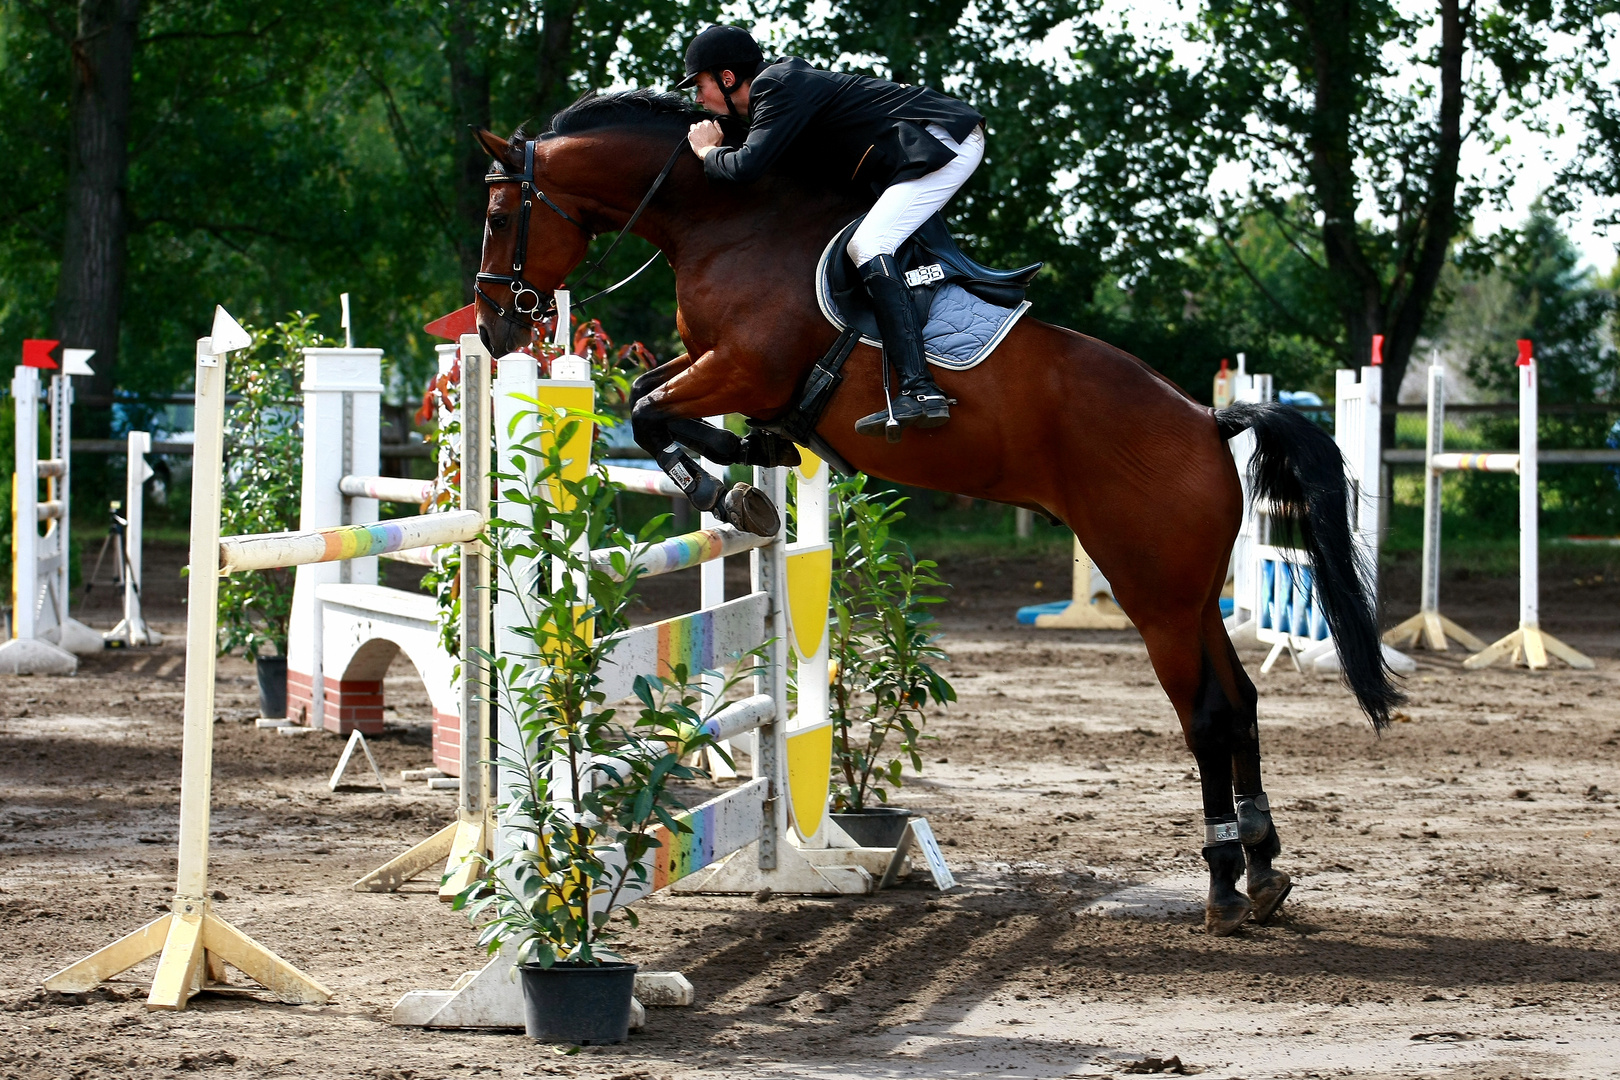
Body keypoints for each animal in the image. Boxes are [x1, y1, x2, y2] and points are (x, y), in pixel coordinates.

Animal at [473, 90, 1406, 939]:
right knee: (1240, 702)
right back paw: (1264, 870)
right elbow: (647, 394)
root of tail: (1207, 420)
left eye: (498, 214)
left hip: (1156, 595)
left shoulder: (742, 365)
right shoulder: (714, 363)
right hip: (1188, 590)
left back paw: (1221, 886)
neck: (725, 221)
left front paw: (728, 485)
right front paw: (751, 463)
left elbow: (646, 410)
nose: (492, 330)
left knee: (1208, 714)